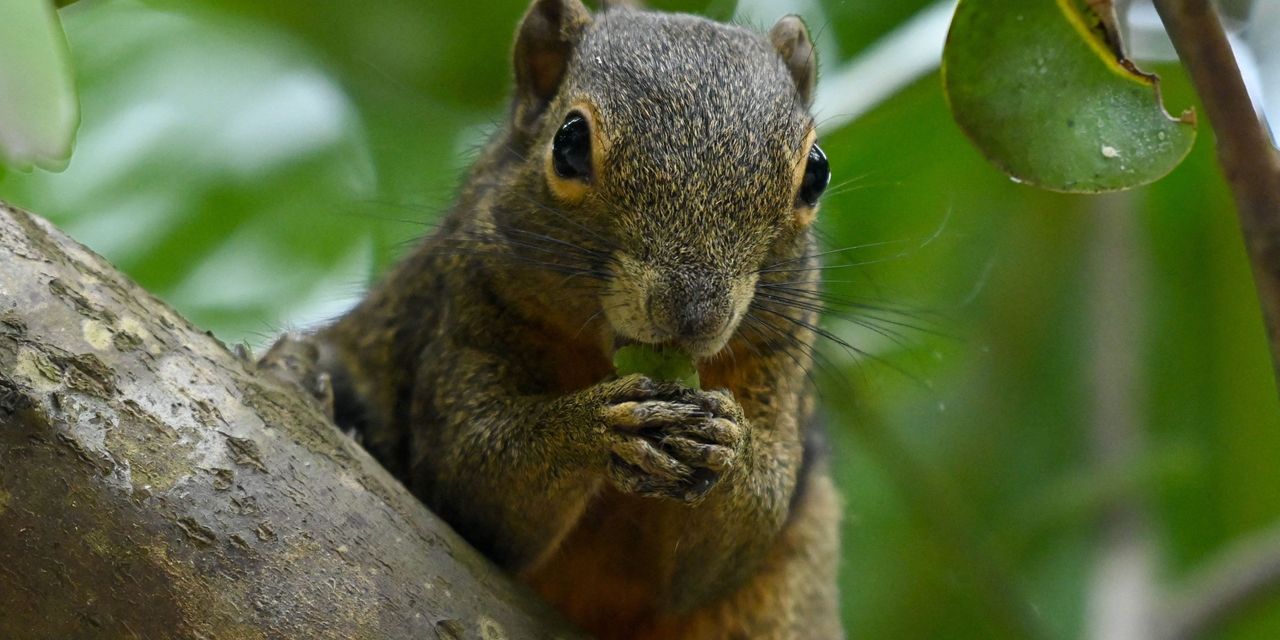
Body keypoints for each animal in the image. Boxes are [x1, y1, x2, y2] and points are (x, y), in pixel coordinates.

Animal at [260, 0, 843, 637]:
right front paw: (598, 423)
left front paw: (728, 443)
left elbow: (736, 539)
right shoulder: (469, 305)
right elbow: (470, 470)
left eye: (816, 173)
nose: (695, 312)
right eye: (569, 143)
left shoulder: (778, 361)